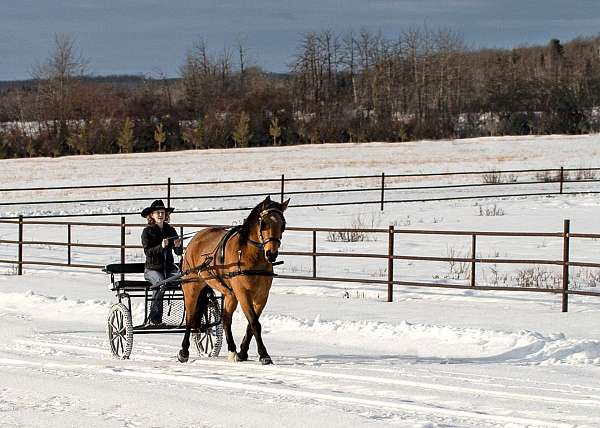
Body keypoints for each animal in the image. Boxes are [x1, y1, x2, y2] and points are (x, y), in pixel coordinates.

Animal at [178, 196, 288, 362]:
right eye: (263, 223)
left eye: (283, 225)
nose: (271, 254)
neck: (250, 255)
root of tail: (195, 239)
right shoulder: (243, 293)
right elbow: (254, 322)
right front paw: (264, 354)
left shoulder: (262, 296)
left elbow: (251, 324)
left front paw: (242, 352)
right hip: (191, 287)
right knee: (190, 318)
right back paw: (184, 351)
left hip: (230, 294)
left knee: (225, 318)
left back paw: (232, 350)